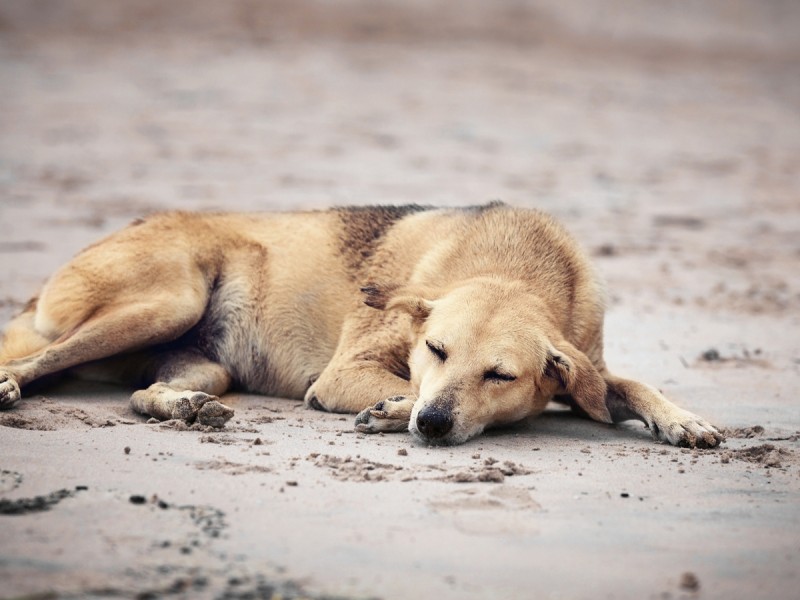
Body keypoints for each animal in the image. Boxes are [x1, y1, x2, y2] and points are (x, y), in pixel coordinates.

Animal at [0, 204, 724, 448]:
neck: (519, 266)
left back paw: (183, 408)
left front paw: (683, 420)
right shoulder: (346, 373)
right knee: (33, 361)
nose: (432, 426)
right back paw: (10, 388)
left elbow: (628, 386)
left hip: (204, 361)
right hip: (166, 300)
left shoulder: (587, 368)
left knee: (142, 392)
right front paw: (392, 410)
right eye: (435, 348)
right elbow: (395, 386)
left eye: (499, 374)